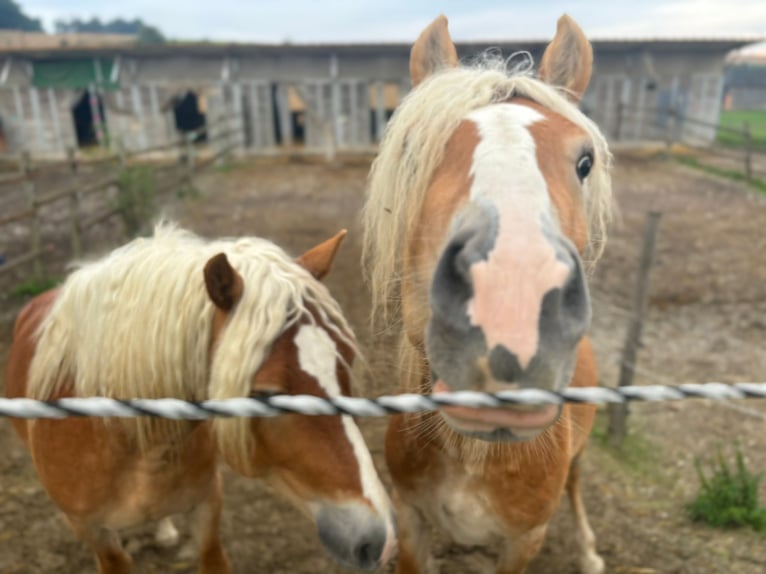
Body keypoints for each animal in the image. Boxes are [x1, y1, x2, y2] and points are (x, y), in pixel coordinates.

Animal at [364, 13, 616, 574]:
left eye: (585, 161)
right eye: (413, 149)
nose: (508, 318)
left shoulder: (524, 540)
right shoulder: (411, 521)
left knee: (577, 483)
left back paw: (590, 551)